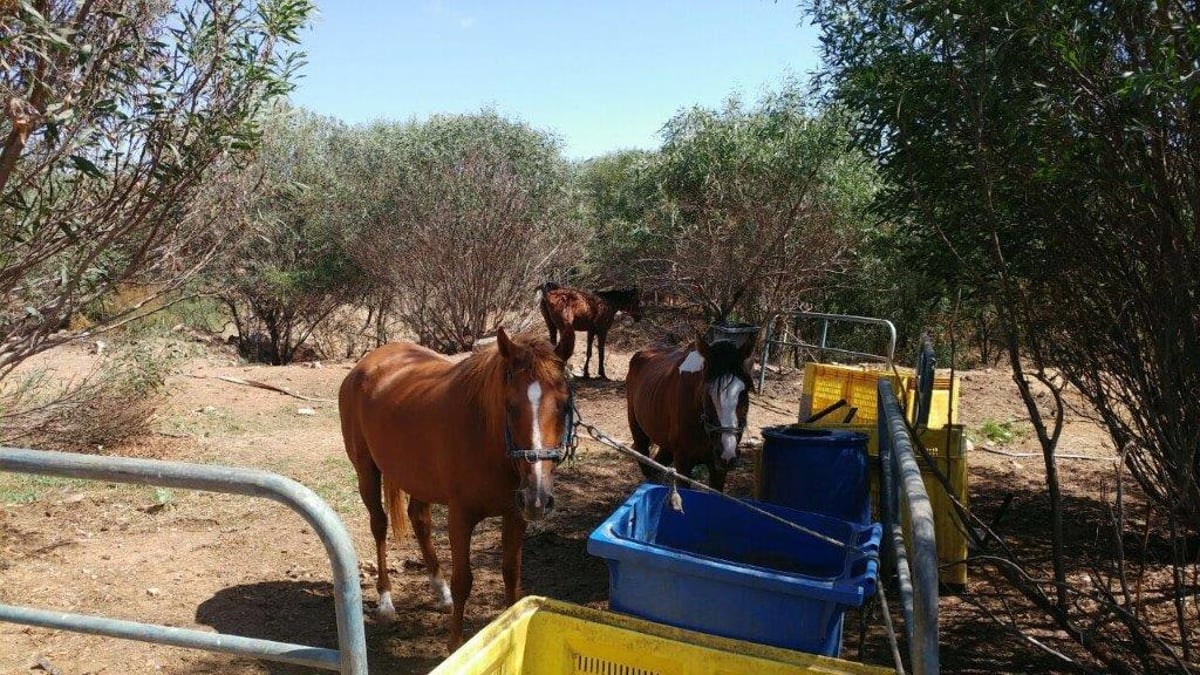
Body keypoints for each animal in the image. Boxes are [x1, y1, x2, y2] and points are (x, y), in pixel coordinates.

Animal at [338, 329, 576, 648]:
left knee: (420, 520)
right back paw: (386, 601)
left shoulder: (515, 516)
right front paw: (455, 645)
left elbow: (511, 573)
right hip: (366, 471)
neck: (486, 436)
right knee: (379, 525)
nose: (537, 499)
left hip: (418, 479)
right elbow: (463, 580)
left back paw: (441, 592)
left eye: (563, 405)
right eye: (511, 406)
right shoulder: (460, 518)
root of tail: (366, 364)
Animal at [624, 333, 753, 487]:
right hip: (638, 432)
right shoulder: (683, 463)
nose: (727, 452)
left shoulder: (718, 469)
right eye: (707, 392)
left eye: (744, 391)